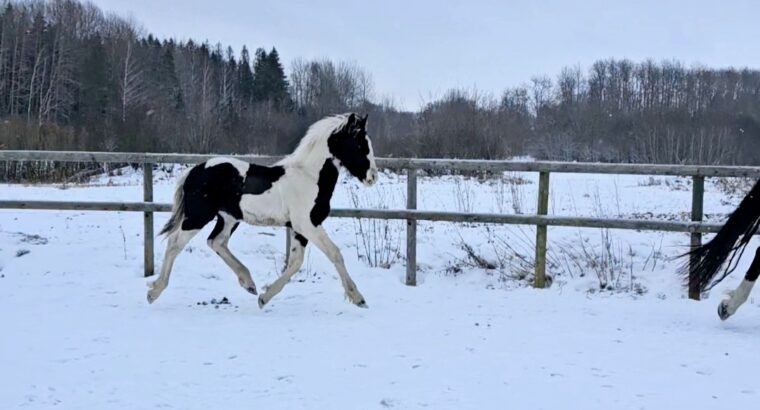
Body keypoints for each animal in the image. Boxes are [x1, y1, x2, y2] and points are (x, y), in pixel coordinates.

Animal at [148, 112, 378, 308]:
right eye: (360, 144)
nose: (372, 177)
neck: (309, 177)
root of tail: (194, 170)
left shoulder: (299, 228)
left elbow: (295, 262)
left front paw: (264, 297)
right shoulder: (307, 224)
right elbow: (334, 253)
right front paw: (358, 298)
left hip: (228, 218)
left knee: (216, 241)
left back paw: (249, 283)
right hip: (198, 216)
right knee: (175, 243)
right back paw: (154, 291)